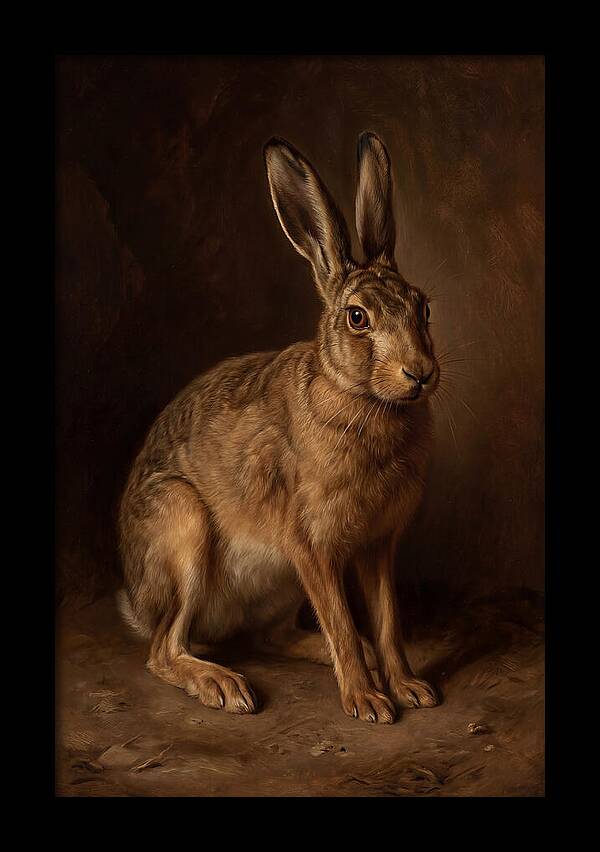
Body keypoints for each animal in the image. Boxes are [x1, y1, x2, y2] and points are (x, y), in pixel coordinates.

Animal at [117, 131, 440, 724]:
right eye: (357, 318)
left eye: (423, 307)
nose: (420, 373)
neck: (363, 399)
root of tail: (137, 598)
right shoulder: (310, 544)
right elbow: (341, 620)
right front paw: (368, 703)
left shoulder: (377, 546)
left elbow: (387, 622)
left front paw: (409, 687)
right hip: (183, 527)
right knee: (164, 649)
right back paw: (223, 686)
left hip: (280, 586)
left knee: (272, 638)